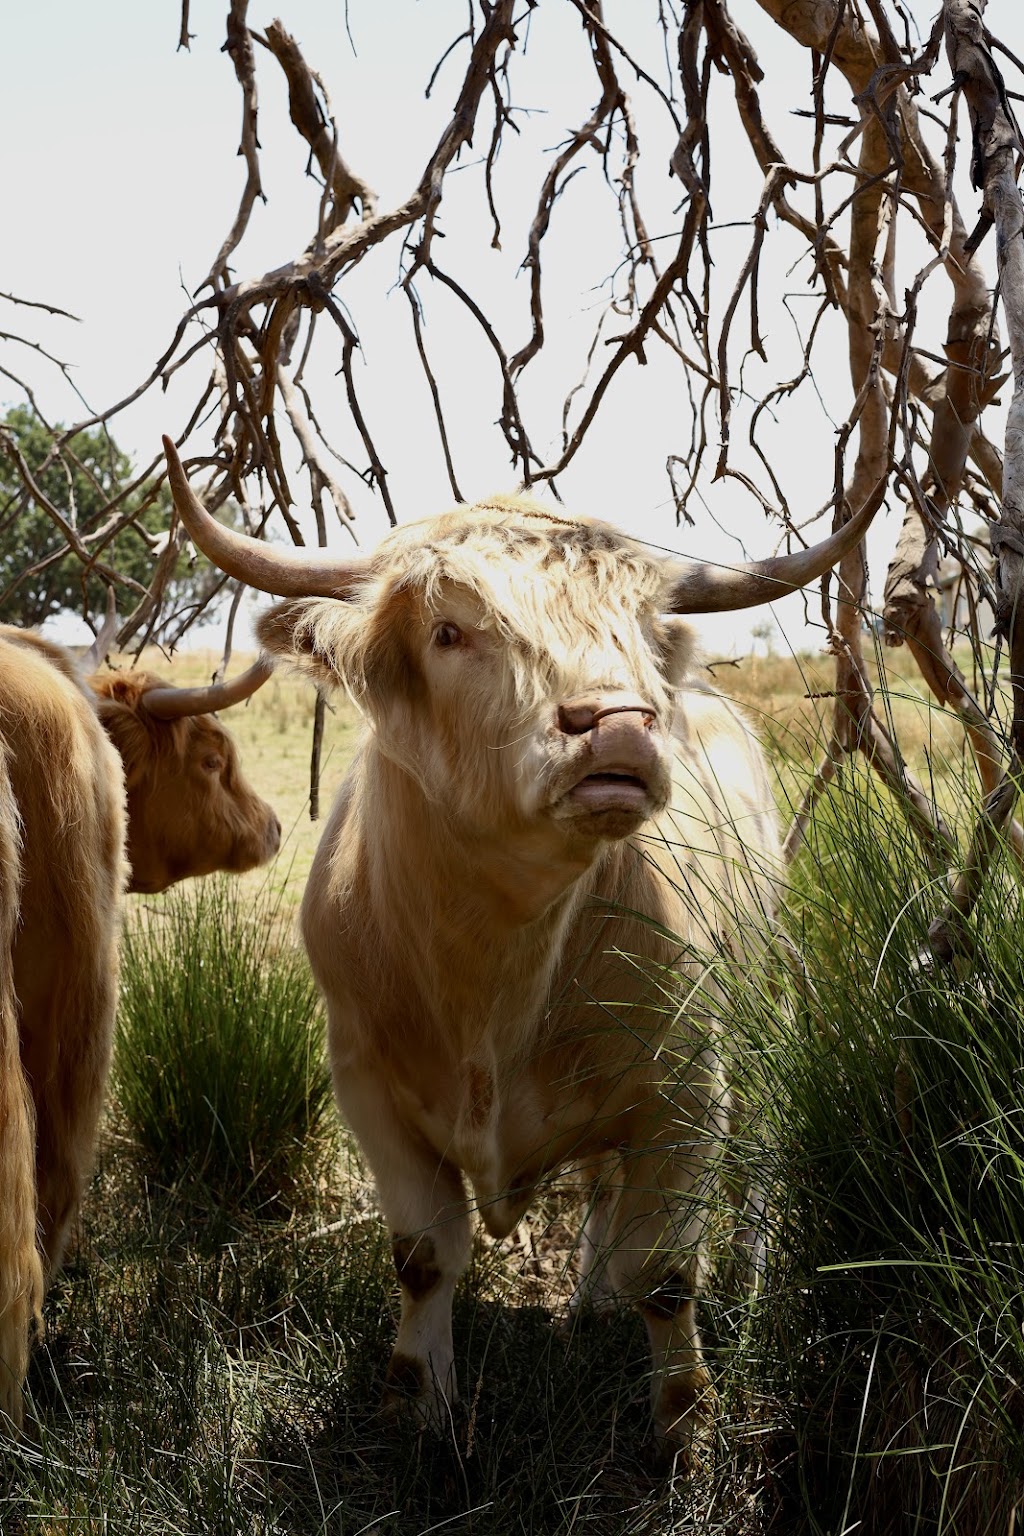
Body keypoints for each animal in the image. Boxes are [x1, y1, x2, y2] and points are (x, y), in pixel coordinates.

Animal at [163, 435, 879, 1451]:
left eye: (640, 628)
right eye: (449, 632)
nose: (618, 724)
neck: (491, 969)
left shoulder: (684, 1087)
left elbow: (667, 1273)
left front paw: (683, 1428)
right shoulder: (366, 1082)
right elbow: (424, 1255)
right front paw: (418, 1401)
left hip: (762, 999)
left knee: (757, 1154)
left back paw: (744, 1272)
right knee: (603, 1192)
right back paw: (586, 1302)